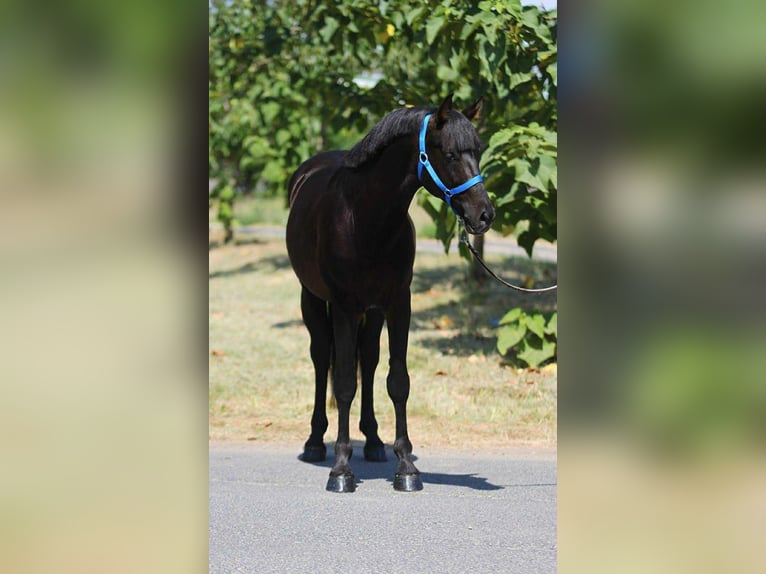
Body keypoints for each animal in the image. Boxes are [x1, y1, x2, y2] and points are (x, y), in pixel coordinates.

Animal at [285, 93, 495, 492]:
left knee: (368, 361)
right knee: (322, 360)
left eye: (478, 151)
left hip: (373, 311)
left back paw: (372, 441)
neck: (365, 218)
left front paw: (405, 466)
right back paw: (316, 442)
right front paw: (341, 469)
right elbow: (344, 383)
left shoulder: (399, 303)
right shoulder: (344, 306)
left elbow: (397, 380)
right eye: (449, 154)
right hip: (313, 299)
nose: (484, 215)